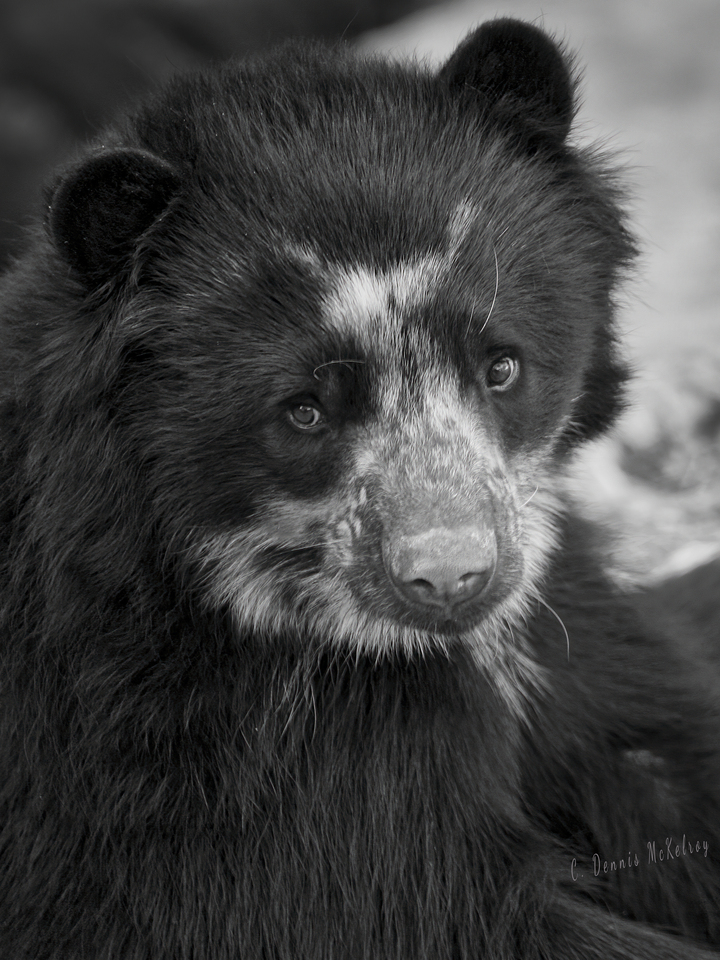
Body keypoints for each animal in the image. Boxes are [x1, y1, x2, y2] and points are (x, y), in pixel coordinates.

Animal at [0, 16, 719, 960]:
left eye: (501, 365)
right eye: (304, 411)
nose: (453, 579)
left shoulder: (565, 636)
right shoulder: (211, 763)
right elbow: (418, 909)